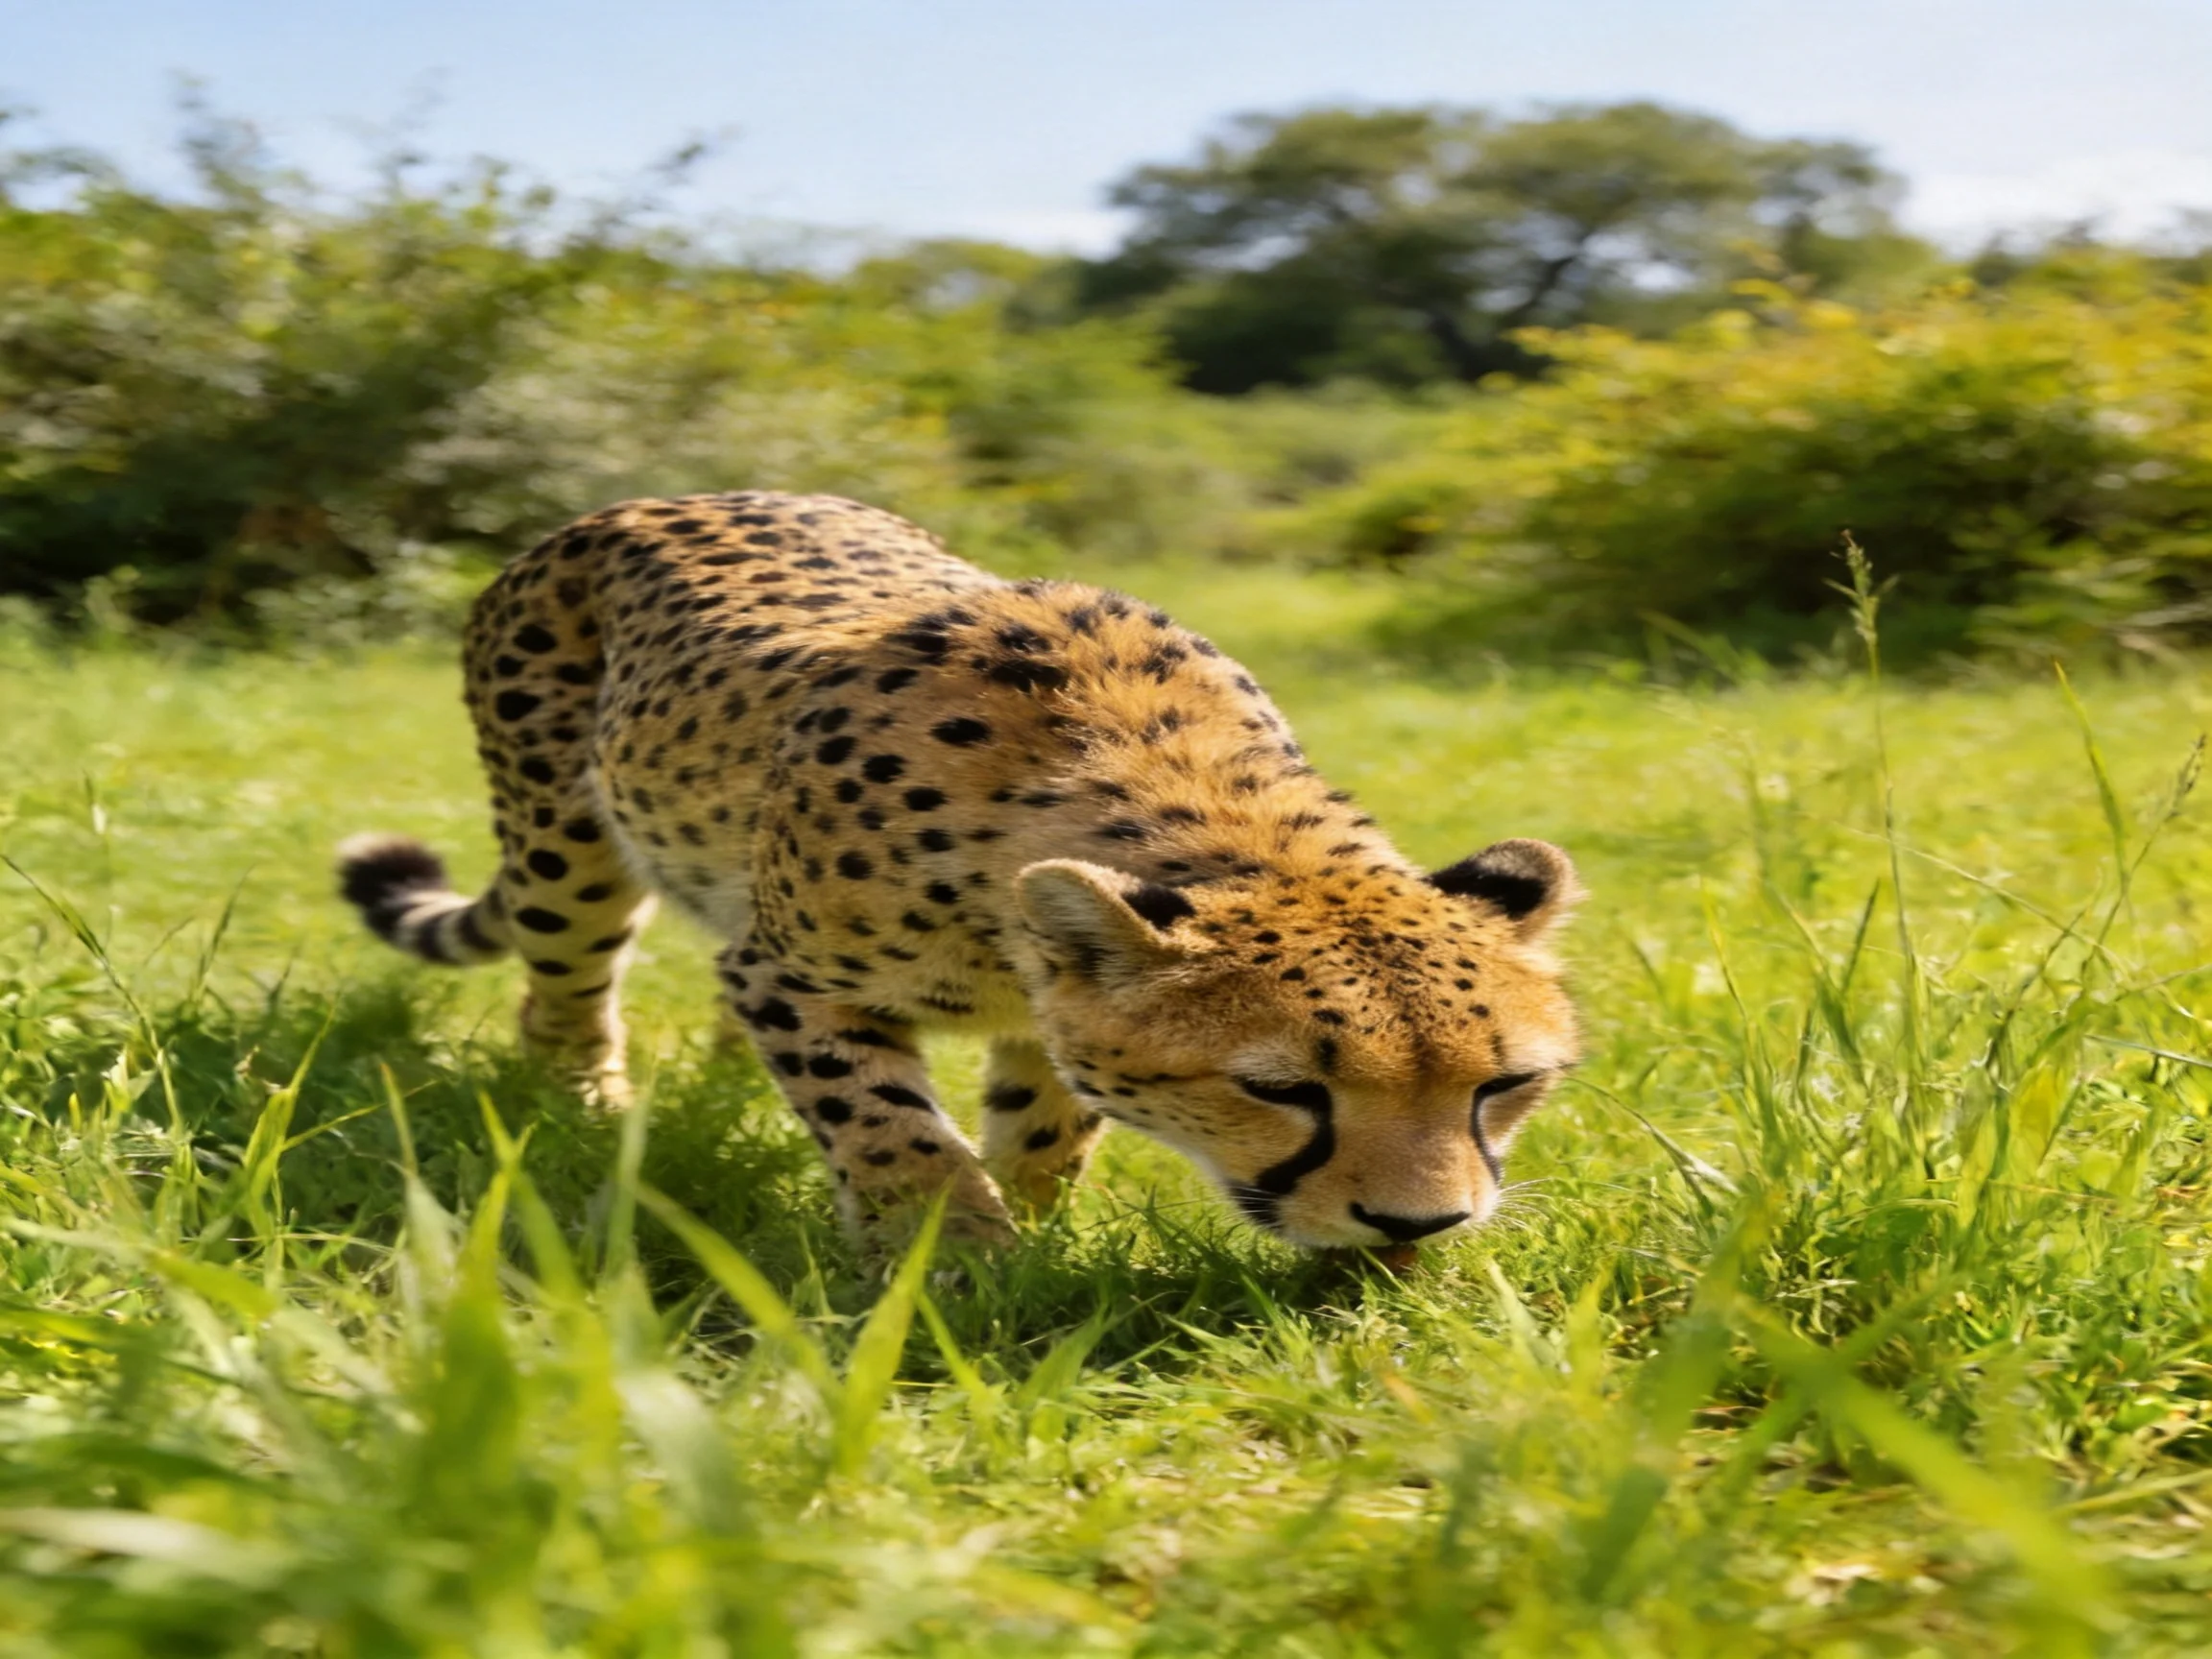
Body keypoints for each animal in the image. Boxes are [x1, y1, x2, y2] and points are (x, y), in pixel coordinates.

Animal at [338, 491, 1582, 1252]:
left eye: (1504, 1084)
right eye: (1277, 1089)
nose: (1419, 1227)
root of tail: (628, 506)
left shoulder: (1050, 1005)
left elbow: (1046, 1126)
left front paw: (1032, 1232)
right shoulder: (789, 975)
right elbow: (889, 1127)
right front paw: (951, 1259)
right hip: (568, 847)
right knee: (560, 994)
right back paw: (590, 1108)